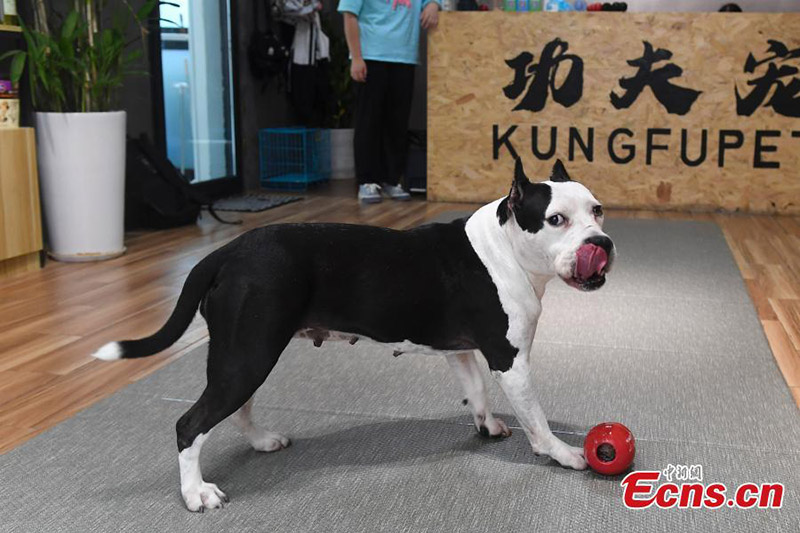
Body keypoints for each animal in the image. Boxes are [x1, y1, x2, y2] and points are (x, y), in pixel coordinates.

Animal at [95, 159, 620, 512]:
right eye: (556, 220)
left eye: (597, 210)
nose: (601, 243)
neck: (506, 247)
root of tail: (226, 252)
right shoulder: (510, 359)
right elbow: (537, 418)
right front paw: (563, 453)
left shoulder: (461, 350)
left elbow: (475, 392)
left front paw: (486, 425)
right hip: (248, 354)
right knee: (190, 424)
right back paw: (195, 493)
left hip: (245, 352)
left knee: (236, 408)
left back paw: (262, 440)